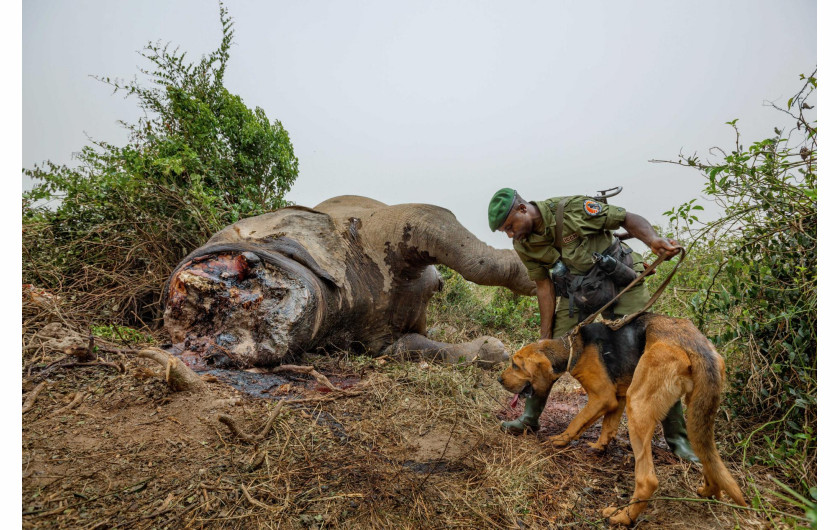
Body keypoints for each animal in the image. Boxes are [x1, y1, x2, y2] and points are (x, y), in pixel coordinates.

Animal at [496, 312, 744, 520]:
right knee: (706, 454)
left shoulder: (603, 397)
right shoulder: (618, 397)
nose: (499, 379)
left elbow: (578, 421)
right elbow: (608, 426)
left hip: (639, 404)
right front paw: (599, 446)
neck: (572, 348)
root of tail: (694, 342)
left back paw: (622, 517)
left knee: (647, 480)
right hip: (696, 408)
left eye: (515, 365)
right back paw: (710, 490)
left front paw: (560, 440)